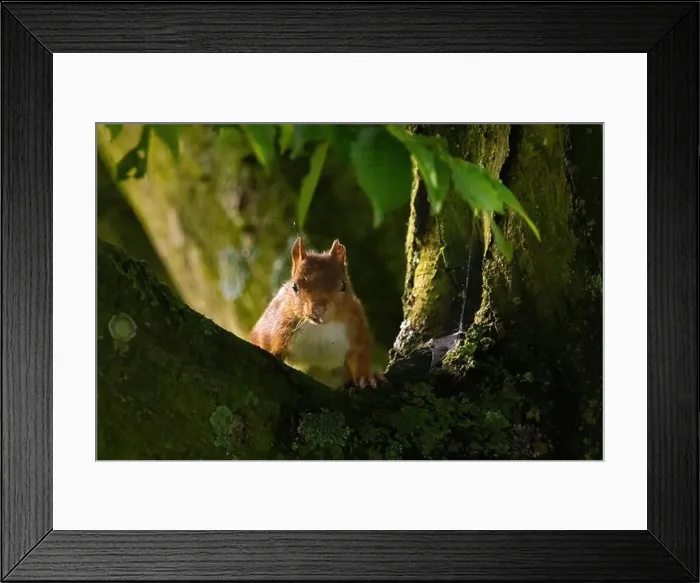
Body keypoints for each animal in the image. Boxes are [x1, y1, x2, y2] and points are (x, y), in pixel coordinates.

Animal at [248, 237, 387, 389]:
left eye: (343, 285)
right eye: (294, 287)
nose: (318, 309)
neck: (319, 329)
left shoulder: (356, 325)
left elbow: (360, 354)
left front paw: (366, 377)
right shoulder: (277, 327)